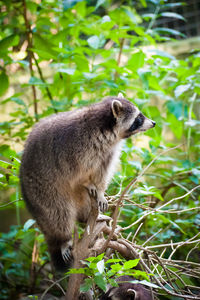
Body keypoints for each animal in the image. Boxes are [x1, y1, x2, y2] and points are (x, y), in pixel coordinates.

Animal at [19, 93, 155, 270]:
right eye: (138, 118)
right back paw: (64, 239)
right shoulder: (72, 148)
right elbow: (76, 175)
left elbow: (102, 174)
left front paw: (100, 192)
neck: (105, 130)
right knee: (59, 213)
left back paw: (86, 217)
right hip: (42, 190)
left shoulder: (107, 152)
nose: (153, 123)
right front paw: (87, 183)